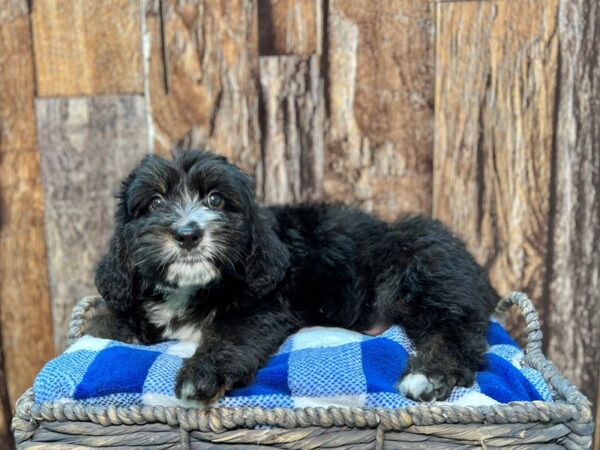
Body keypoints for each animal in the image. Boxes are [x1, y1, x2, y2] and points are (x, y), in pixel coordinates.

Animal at [92, 149, 496, 402]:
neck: (193, 287)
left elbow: (229, 335)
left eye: (216, 200)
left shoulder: (262, 307)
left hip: (421, 268)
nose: (188, 234)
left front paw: (201, 373)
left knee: (456, 332)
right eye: (155, 202)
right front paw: (111, 325)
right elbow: (108, 320)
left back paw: (427, 373)